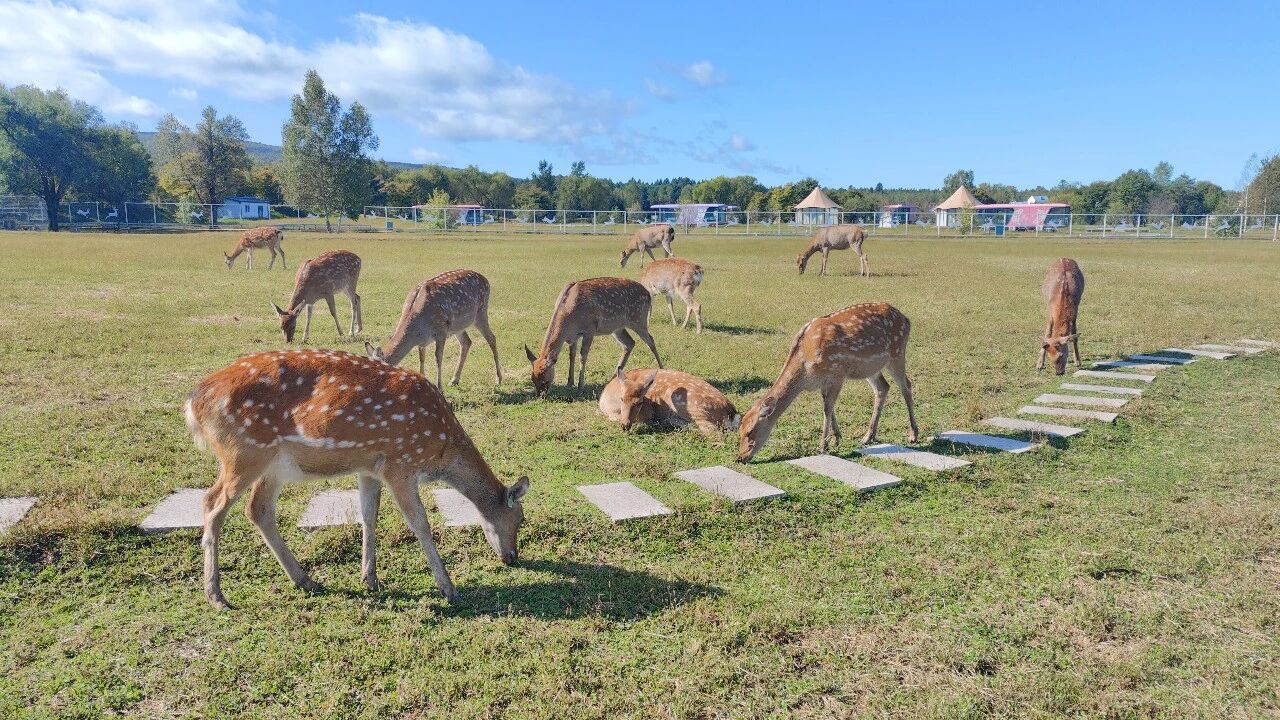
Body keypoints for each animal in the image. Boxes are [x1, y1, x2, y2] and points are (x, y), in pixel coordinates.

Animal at [184, 349, 529, 610]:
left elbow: (368, 516)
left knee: (258, 509)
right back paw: (216, 596)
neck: (440, 447)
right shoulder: (400, 464)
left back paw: (306, 580)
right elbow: (420, 523)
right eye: (520, 518)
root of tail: (193, 402)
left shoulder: (369, 467)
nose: (512, 557)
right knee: (212, 503)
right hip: (243, 453)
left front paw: (371, 579)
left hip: (272, 465)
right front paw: (448, 588)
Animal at [363, 269, 502, 389]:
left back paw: (498, 379)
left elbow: (438, 358)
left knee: (492, 338)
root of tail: (486, 280)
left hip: (481, 312)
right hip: (458, 326)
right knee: (467, 342)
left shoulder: (441, 330)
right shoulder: (422, 341)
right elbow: (422, 358)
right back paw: (454, 380)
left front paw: (439, 387)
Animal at [524, 277, 663, 397]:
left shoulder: (589, 330)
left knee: (651, 340)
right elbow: (572, 355)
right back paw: (613, 378)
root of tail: (648, 294)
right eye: (533, 379)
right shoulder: (573, 336)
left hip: (639, 319)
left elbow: (582, 356)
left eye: (545, 379)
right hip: (617, 328)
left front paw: (580, 387)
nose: (540, 396)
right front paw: (569, 382)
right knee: (629, 343)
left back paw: (662, 369)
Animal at [599, 368, 739, 438]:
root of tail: (732, 413)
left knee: (712, 430)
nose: (625, 425)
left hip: (685, 402)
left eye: (640, 402)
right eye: (622, 399)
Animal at [738, 302, 919, 463]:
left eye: (750, 431)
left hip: (897, 353)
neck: (806, 370)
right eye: (739, 430)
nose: (741, 457)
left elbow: (827, 408)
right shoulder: (823, 382)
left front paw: (823, 447)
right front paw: (836, 438)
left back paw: (913, 434)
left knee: (906, 385)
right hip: (871, 368)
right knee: (883, 387)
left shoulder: (837, 372)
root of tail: (907, 319)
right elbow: (829, 407)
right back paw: (868, 437)